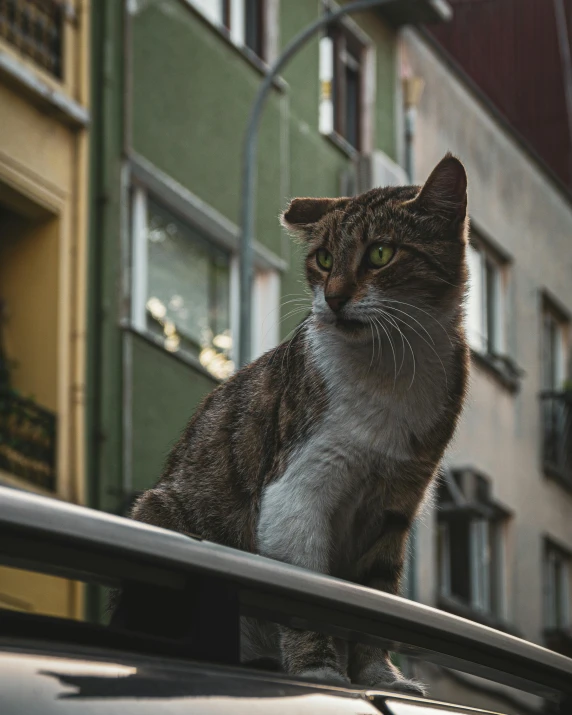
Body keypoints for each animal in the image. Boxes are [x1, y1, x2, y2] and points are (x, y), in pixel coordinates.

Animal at [119, 154, 470, 696]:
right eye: (323, 259)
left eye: (381, 253)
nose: (334, 298)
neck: (393, 364)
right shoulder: (297, 488)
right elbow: (307, 595)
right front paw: (318, 671)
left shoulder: (396, 501)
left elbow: (376, 597)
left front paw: (380, 677)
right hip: (160, 512)